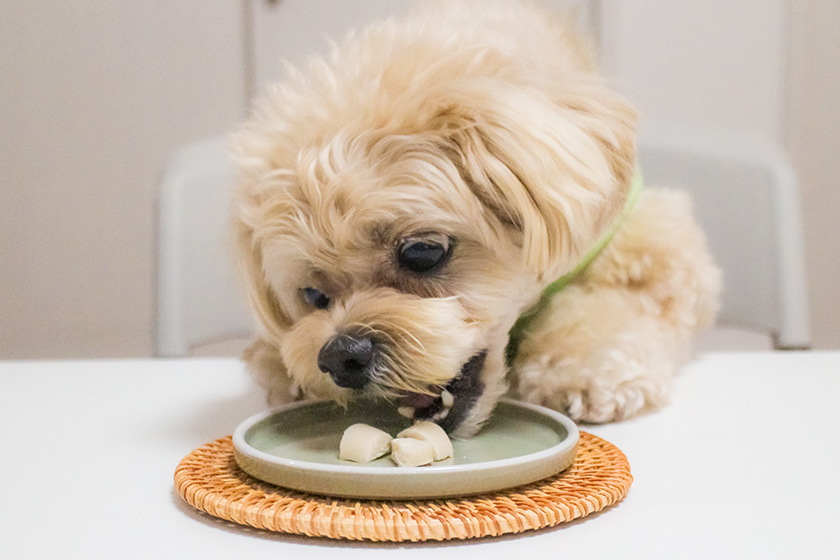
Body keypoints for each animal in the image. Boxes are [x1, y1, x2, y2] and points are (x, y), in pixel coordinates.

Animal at [231, 0, 720, 438]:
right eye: (313, 295)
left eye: (422, 253)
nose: (339, 355)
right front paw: (284, 372)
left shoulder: (648, 249)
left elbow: (613, 308)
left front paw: (582, 370)